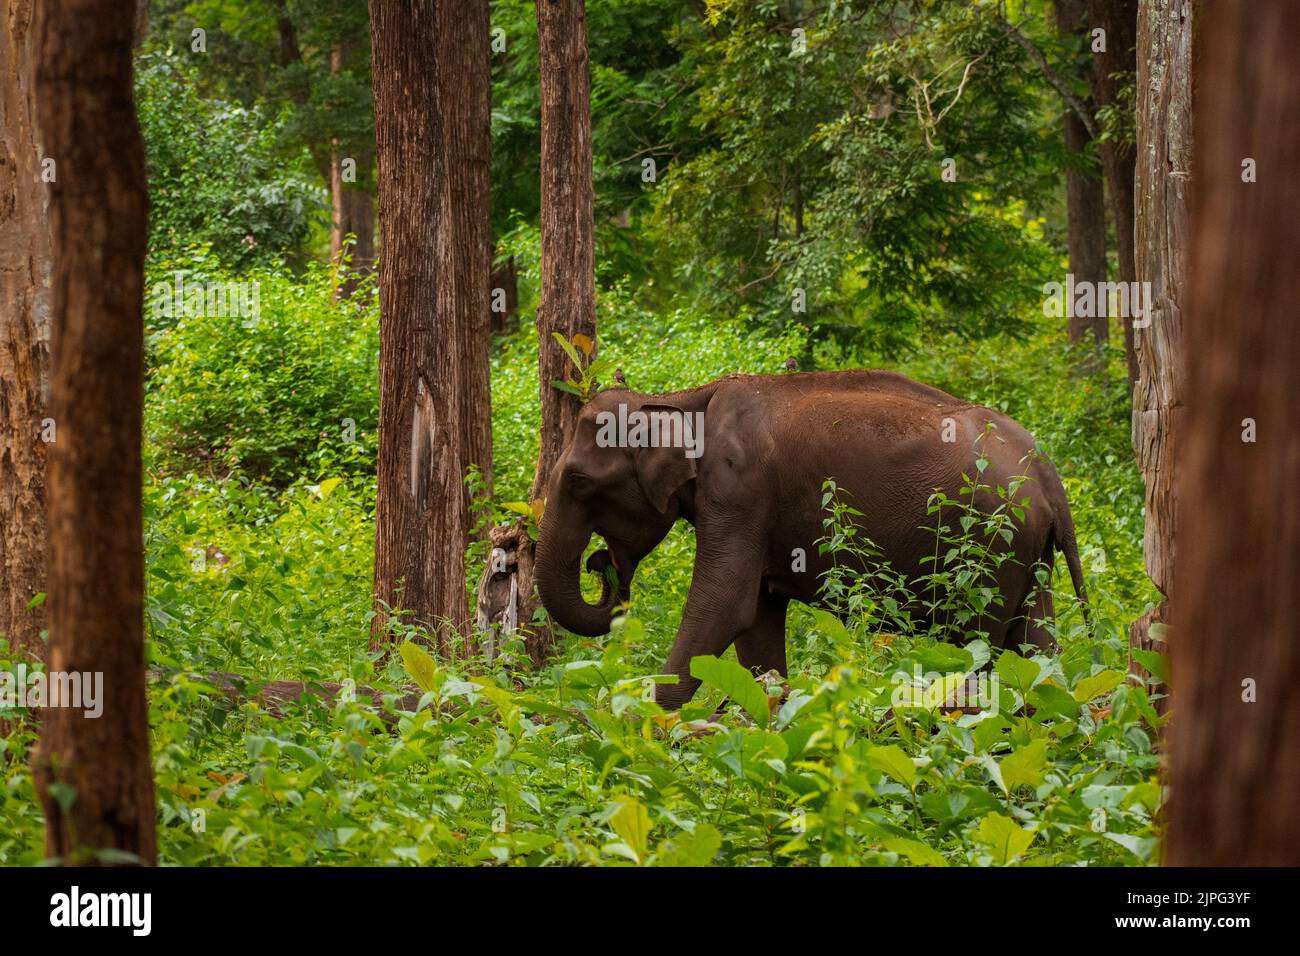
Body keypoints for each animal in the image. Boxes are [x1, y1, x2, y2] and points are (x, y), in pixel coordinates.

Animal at [534, 370, 1091, 709]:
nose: (600, 562)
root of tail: (1046, 471)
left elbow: (722, 607)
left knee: (980, 645)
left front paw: (644, 729)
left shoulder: (739, 491)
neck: (681, 399)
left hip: (989, 551)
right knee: (1034, 644)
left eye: (578, 481)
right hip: (1028, 556)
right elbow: (756, 626)